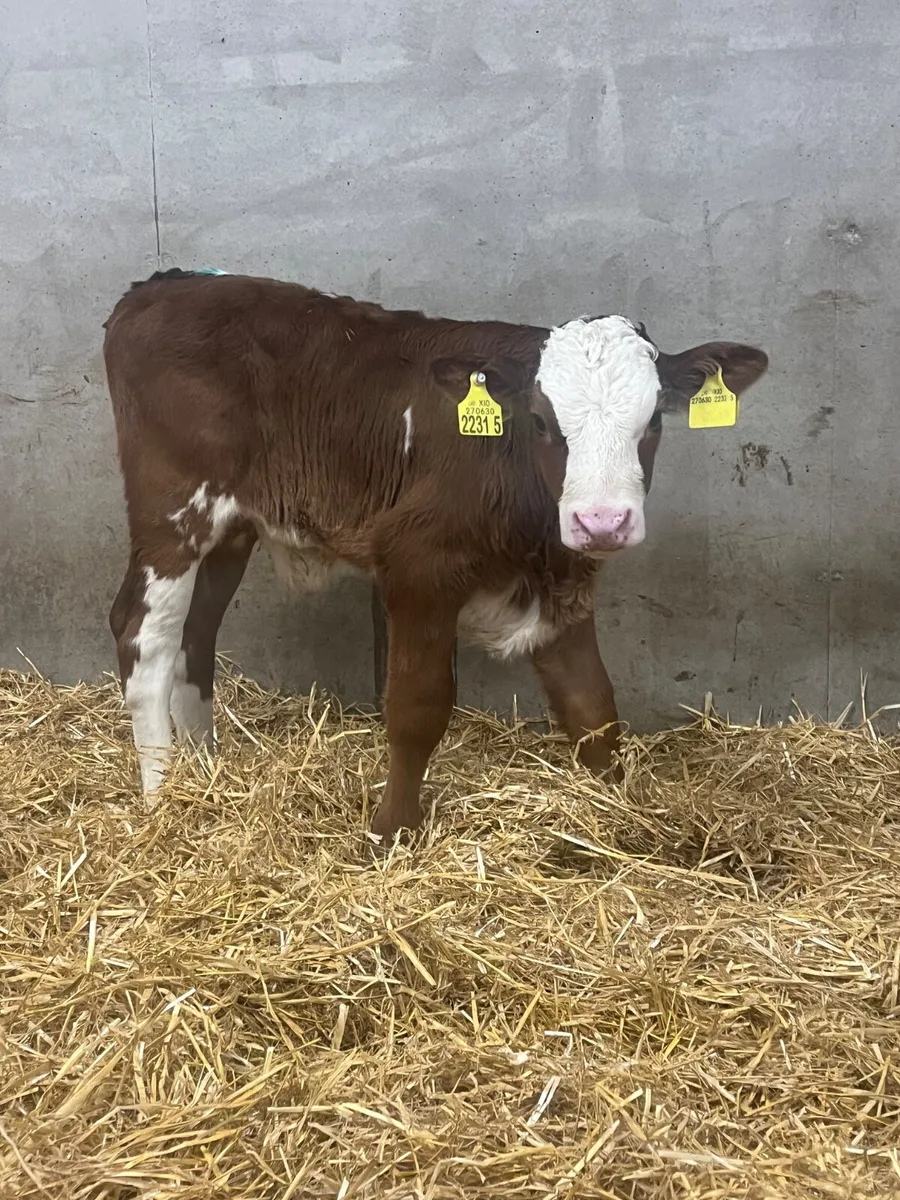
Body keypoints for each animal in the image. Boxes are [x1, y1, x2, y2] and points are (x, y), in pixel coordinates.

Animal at [103, 269, 768, 842]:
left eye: (653, 420)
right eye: (540, 420)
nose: (601, 520)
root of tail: (165, 284)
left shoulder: (562, 583)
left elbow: (593, 707)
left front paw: (618, 812)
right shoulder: (417, 564)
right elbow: (416, 707)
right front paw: (390, 831)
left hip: (232, 526)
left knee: (197, 633)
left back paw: (206, 772)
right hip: (173, 511)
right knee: (144, 632)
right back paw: (162, 794)